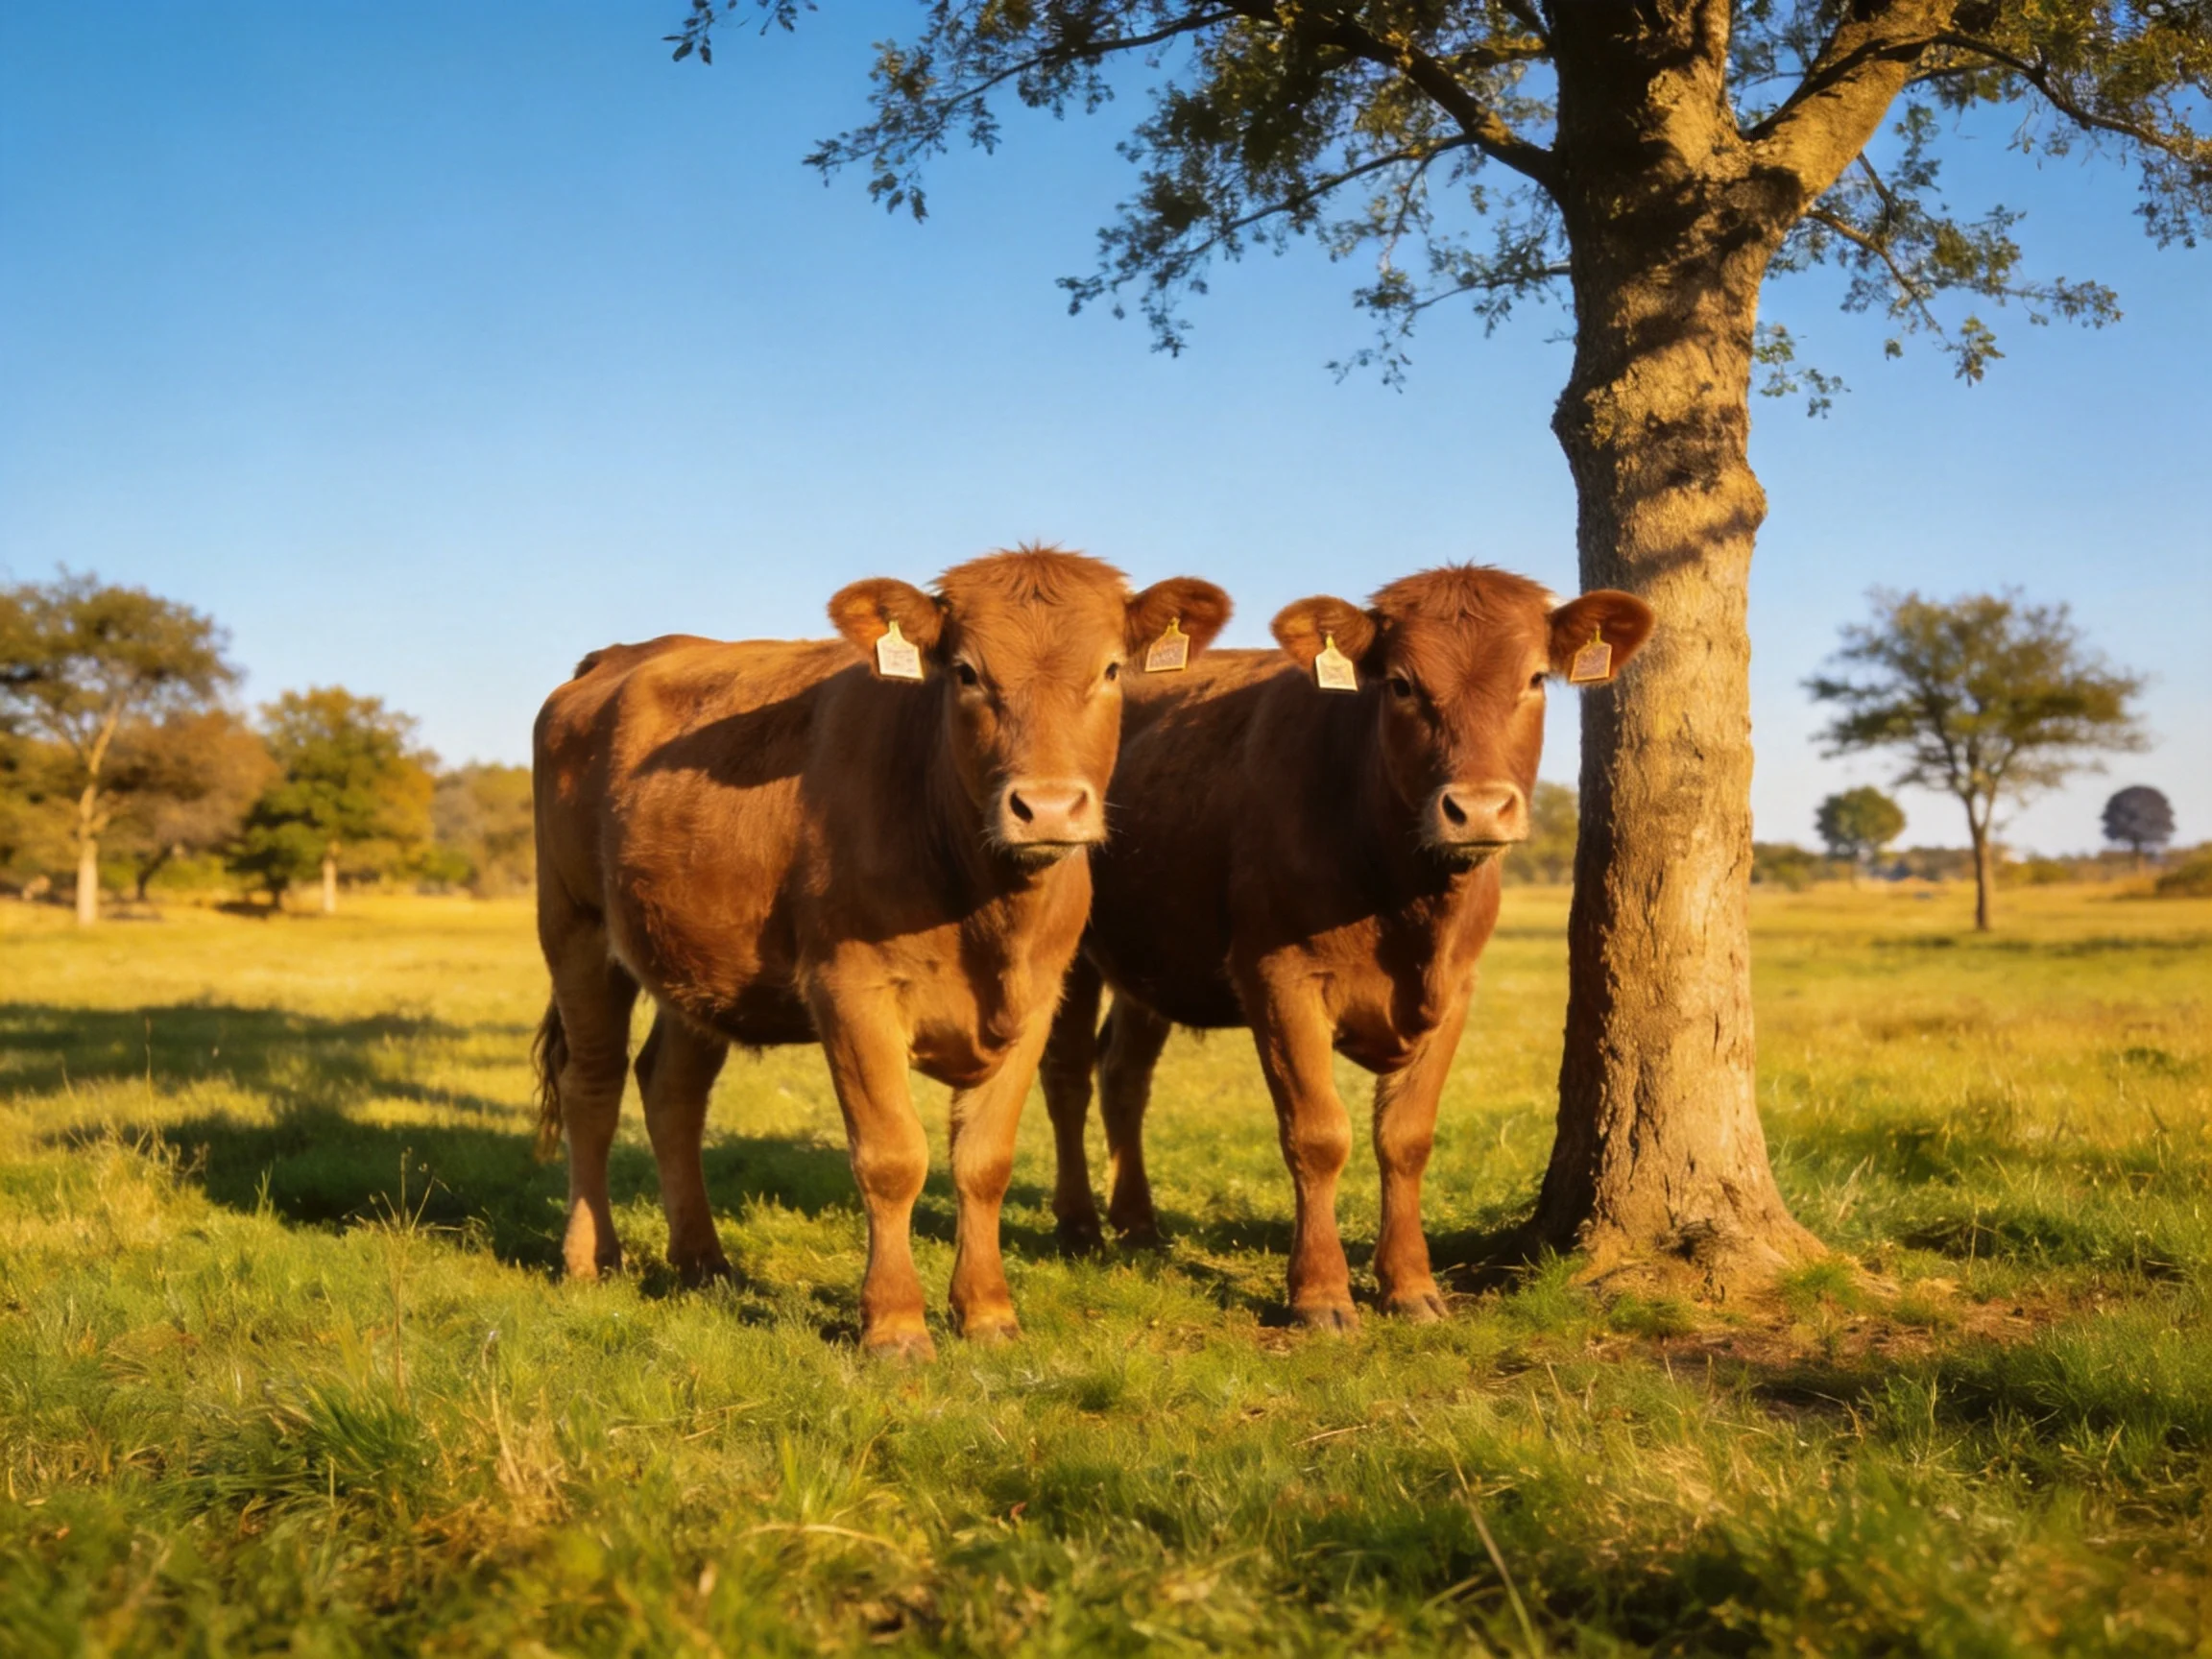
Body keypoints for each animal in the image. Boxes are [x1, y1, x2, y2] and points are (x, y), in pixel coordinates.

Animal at [531, 548, 1231, 1359]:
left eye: (1113, 669)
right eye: (966, 672)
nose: (1048, 807)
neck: (982, 903)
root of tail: (617, 657)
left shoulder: (1038, 999)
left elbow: (984, 1162)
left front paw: (988, 1312)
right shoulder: (851, 992)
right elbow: (892, 1157)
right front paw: (894, 1324)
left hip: (697, 964)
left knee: (672, 1090)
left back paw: (703, 1261)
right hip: (576, 929)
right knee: (593, 1085)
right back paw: (591, 1257)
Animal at [1039, 565, 1653, 1329]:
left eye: (1536, 678)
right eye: (1402, 684)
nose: (1479, 809)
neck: (1405, 899)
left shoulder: (1456, 989)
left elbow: (1407, 1137)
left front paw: (1411, 1285)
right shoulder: (1278, 978)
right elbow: (1318, 1134)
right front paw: (1321, 1294)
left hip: (1153, 955)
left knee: (1124, 1075)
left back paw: (1139, 1224)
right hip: (1067, 945)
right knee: (1067, 1073)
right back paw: (1079, 1226)